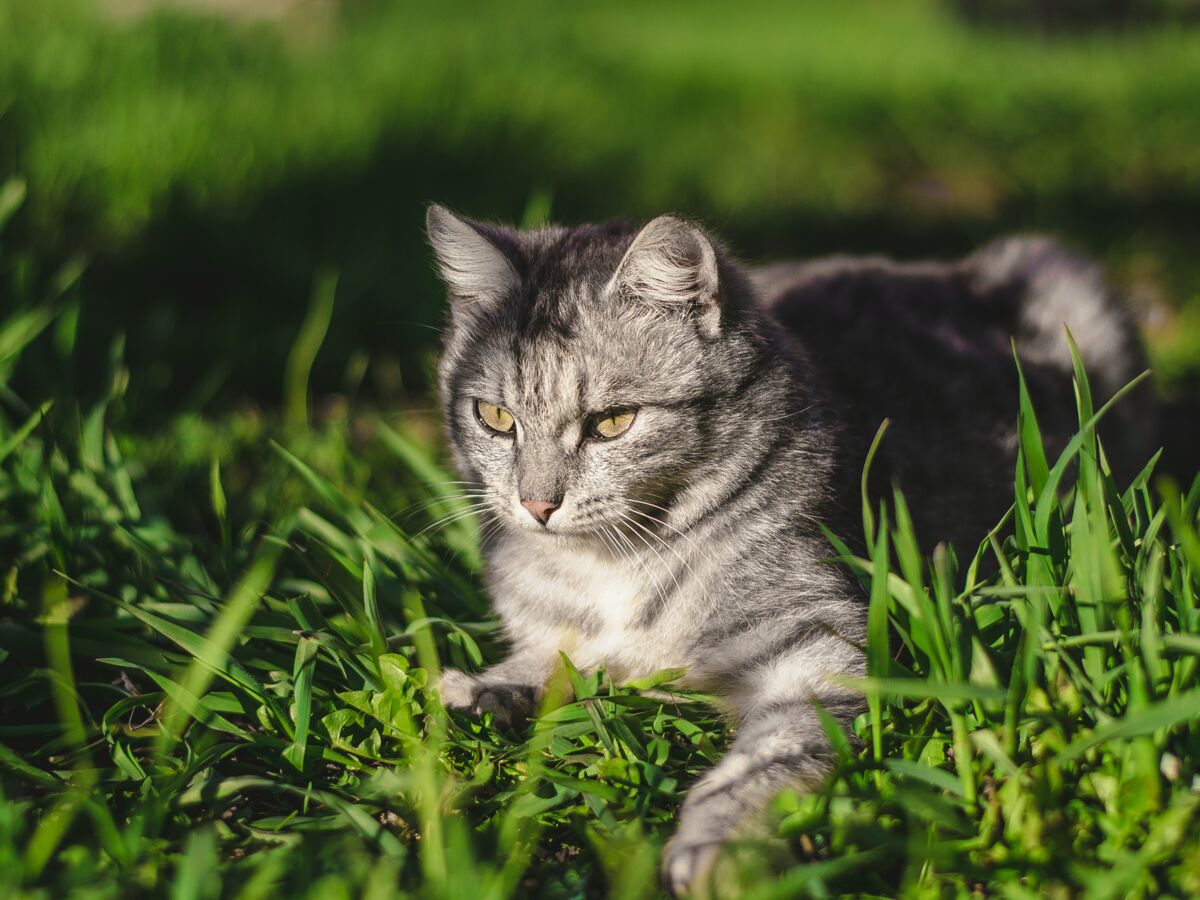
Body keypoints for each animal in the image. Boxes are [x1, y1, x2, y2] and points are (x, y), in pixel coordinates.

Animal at [422, 207, 1142, 897]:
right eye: (494, 418)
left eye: (613, 423)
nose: (536, 506)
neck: (612, 563)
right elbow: (543, 660)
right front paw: (480, 690)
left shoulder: (818, 653)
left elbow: (762, 763)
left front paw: (717, 849)